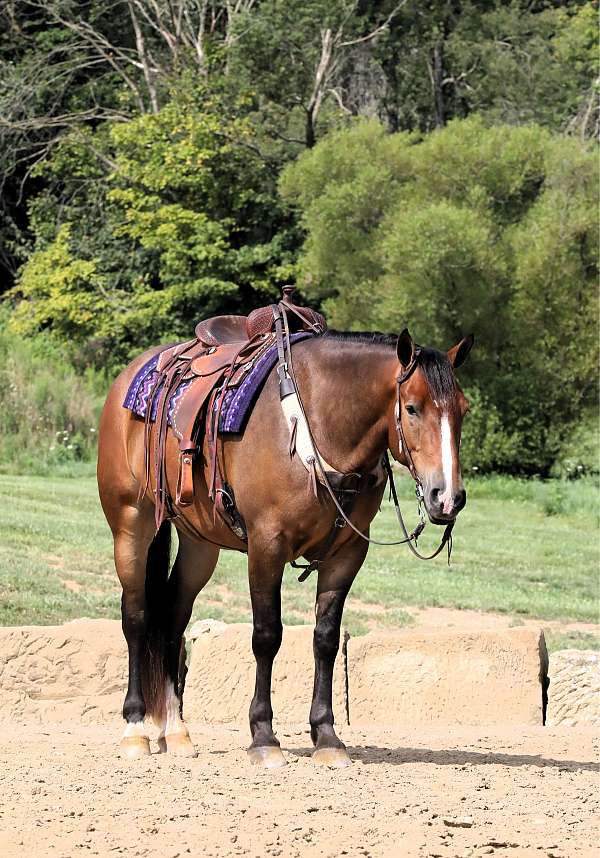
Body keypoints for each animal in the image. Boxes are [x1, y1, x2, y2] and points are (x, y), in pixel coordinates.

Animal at [97, 324, 474, 764]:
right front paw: (263, 735)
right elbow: (267, 636)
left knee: (173, 616)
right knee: (137, 617)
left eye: (463, 410)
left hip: (199, 544)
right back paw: (135, 728)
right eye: (412, 408)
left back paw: (176, 731)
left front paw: (326, 735)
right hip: (131, 525)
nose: (447, 498)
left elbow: (326, 639)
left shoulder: (347, 555)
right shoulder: (267, 546)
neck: (316, 425)